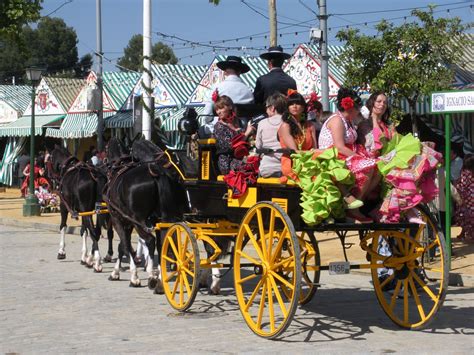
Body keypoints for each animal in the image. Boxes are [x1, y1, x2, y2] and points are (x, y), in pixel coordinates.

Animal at [105, 138, 189, 294]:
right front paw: (116, 272)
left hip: (139, 221)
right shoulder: (129, 222)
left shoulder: (118, 219)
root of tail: (156, 172)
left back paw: (152, 277)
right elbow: (122, 246)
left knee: (150, 240)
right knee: (163, 244)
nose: (105, 163)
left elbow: (125, 245)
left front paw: (134, 277)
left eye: (106, 148)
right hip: (164, 219)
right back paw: (160, 281)